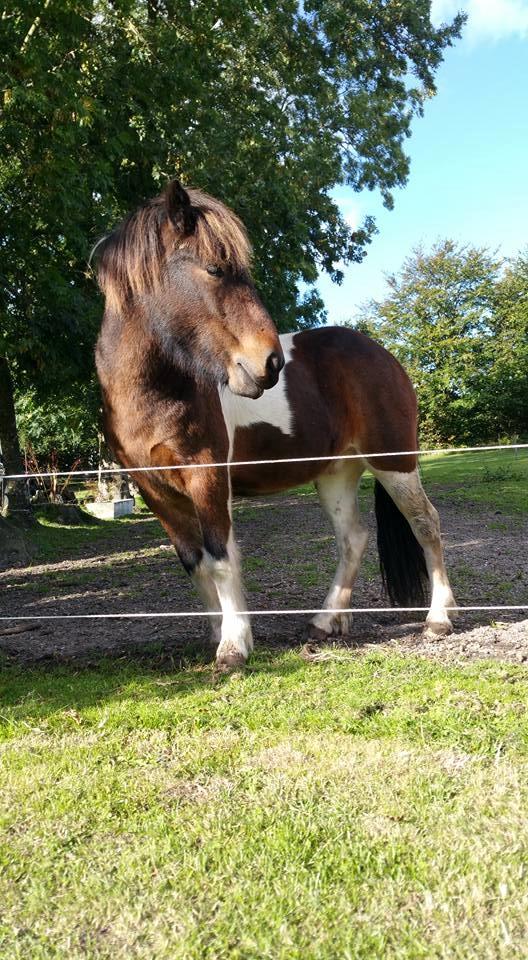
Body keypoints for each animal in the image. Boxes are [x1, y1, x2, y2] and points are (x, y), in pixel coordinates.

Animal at [94, 184, 454, 672]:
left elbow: (221, 559)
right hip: (336, 472)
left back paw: (438, 619)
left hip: (394, 461)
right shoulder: (155, 491)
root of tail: (384, 355)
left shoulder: (207, 479)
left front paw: (234, 645)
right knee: (353, 540)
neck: (158, 390)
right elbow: (194, 564)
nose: (269, 363)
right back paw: (326, 621)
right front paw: (219, 634)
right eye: (215, 268)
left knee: (425, 523)